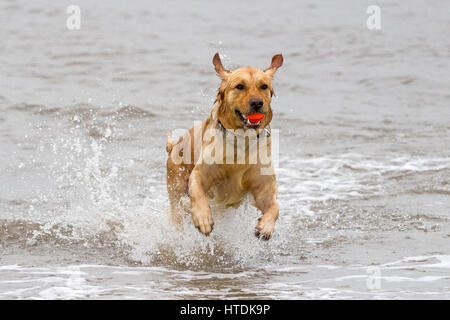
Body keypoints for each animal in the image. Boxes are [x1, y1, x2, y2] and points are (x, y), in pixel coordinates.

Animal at [167, 52, 284, 239]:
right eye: (240, 86)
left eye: (264, 86)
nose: (257, 102)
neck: (242, 139)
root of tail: (174, 144)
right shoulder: (200, 174)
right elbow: (197, 191)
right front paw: (203, 218)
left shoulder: (263, 187)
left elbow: (275, 206)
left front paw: (266, 226)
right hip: (176, 187)